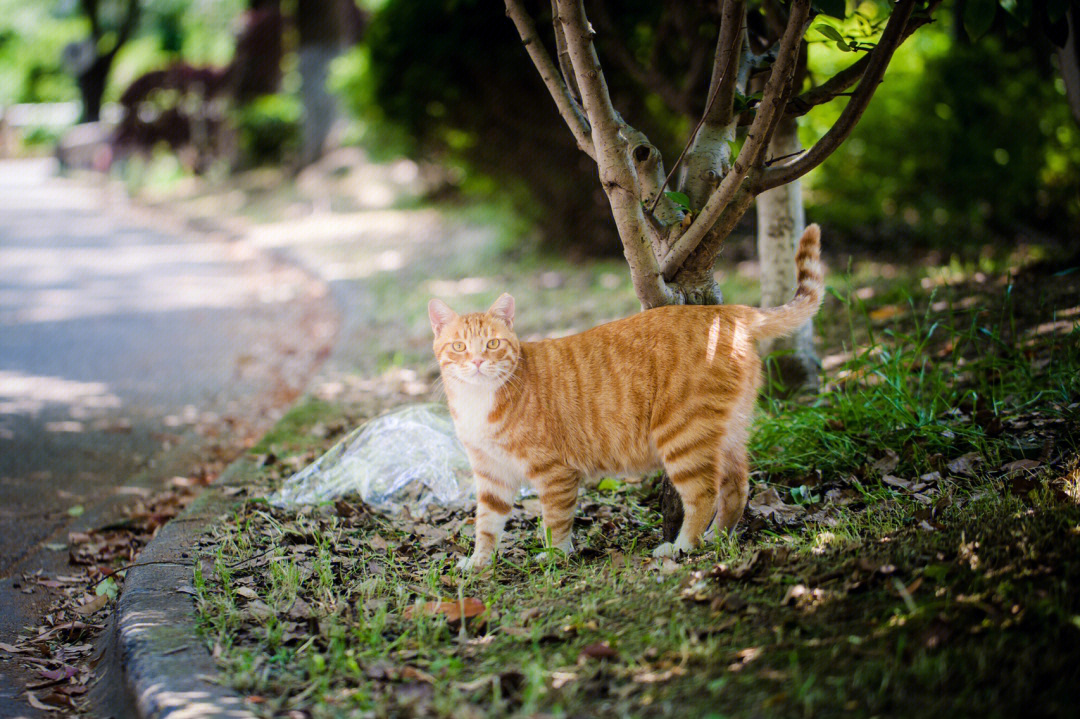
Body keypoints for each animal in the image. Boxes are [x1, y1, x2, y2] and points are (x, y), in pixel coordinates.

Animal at [429, 221, 825, 570]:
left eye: (493, 344)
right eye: (460, 346)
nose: (478, 361)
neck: (479, 399)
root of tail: (725, 311)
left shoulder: (553, 472)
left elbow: (554, 522)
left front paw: (556, 557)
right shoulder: (491, 476)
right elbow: (486, 524)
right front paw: (480, 562)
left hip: (681, 434)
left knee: (703, 493)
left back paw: (682, 546)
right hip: (725, 434)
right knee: (737, 487)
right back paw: (717, 538)